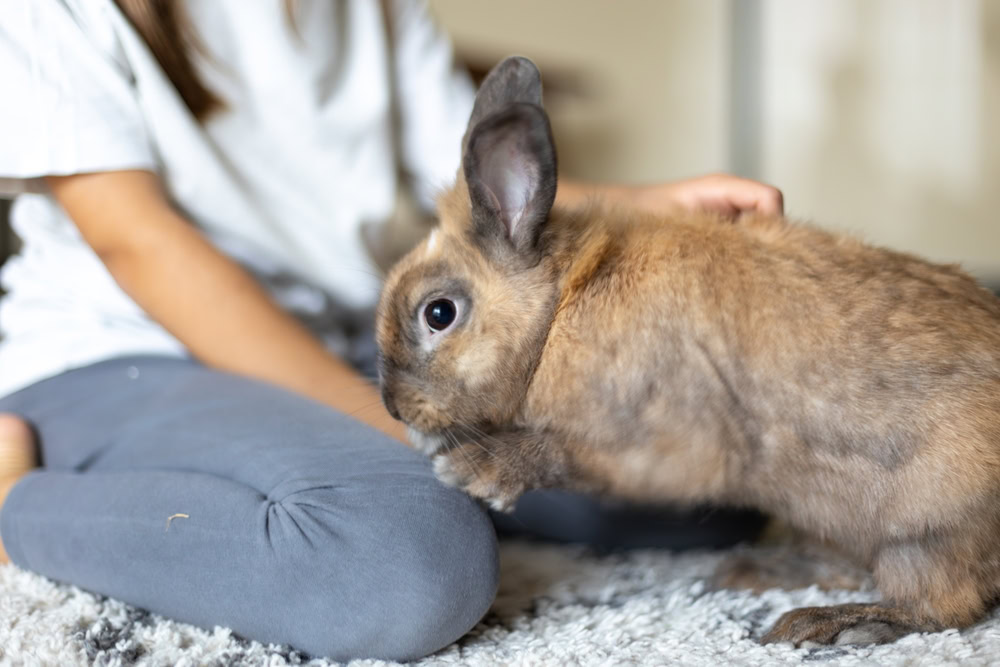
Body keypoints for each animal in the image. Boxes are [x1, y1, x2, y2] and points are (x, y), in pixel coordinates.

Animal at [374, 56, 1000, 647]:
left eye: (438, 314)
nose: (393, 407)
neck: (558, 312)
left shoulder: (664, 442)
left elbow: (567, 454)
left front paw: (475, 469)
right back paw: (752, 574)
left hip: (927, 531)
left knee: (941, 605)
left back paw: (825, 624)